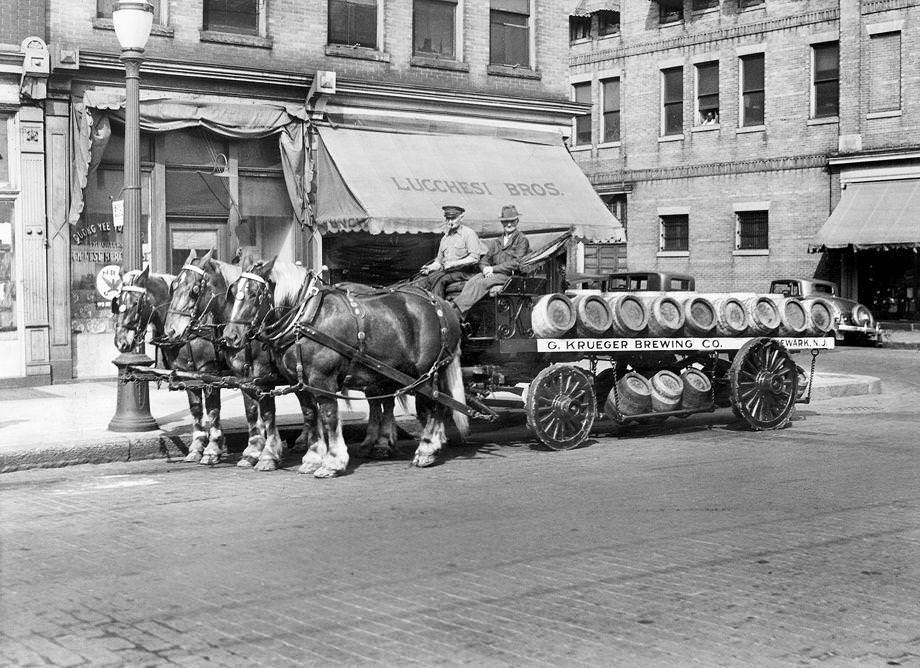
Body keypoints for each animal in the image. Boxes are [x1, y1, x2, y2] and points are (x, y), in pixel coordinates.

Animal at [111, 264, 228, 462]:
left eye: (135, 303)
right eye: (117, 302)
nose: (120, 342)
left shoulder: (210, 372)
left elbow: (213, 409)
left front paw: (213, 448)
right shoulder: (187, 374)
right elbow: (196, 409)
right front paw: (197, 446)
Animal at [221, 253, 468, 478]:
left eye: (255, 294)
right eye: (233, 293)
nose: (230, 337)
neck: (306, 318)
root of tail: (442, 304)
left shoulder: (320, 380)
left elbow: (328, 417)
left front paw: (332, 461)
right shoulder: (298, 384)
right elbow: (310, 416)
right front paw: (312, 457)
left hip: (427, 372)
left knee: (432, 406)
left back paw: (426, 449)